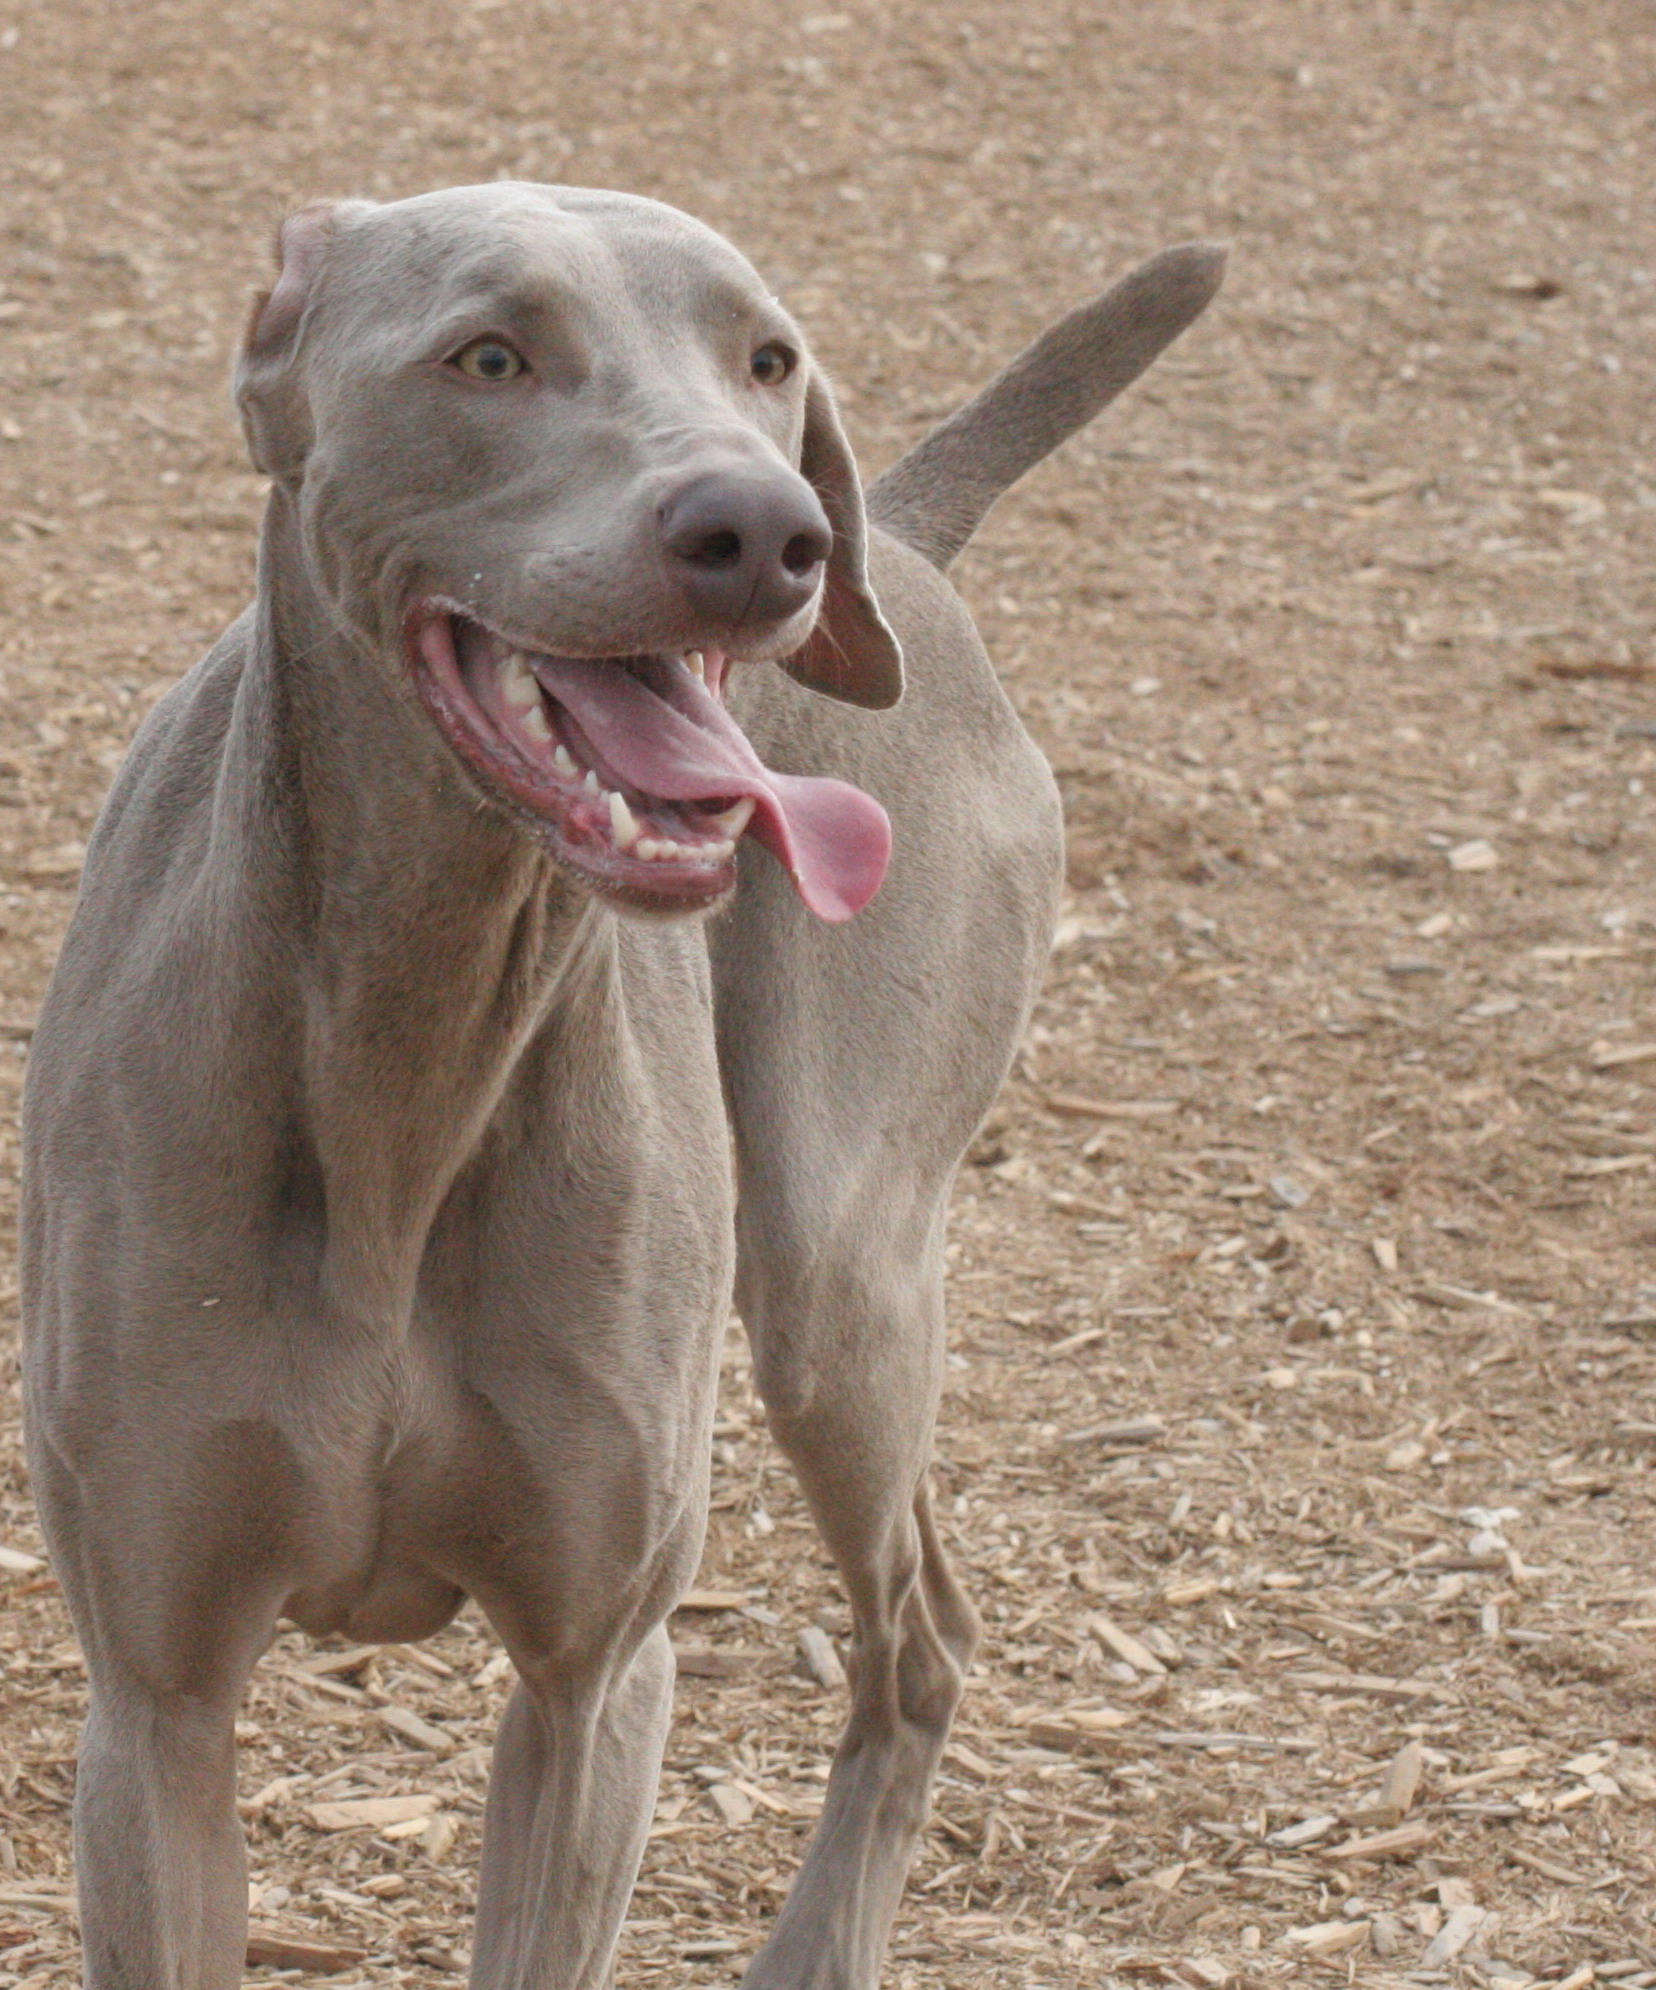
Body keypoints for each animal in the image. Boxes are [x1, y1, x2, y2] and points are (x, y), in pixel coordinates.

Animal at [20, 183, 1221, 1987]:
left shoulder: (596, 1678)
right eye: (488, 355)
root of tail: (903, 540)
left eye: (770, 357)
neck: (409, 1042)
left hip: (837, 1276)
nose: (769, 534)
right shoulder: (157, 1702)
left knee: (920, 1627)